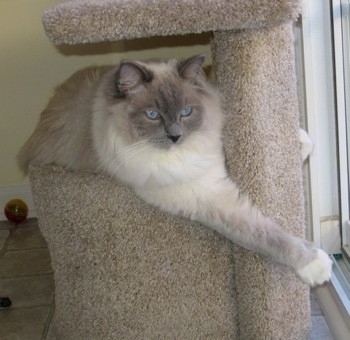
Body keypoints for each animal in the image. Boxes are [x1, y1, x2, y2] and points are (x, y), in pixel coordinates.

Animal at [17, 54, 332, 286]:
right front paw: (317, 266)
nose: (175, 137)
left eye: (186, 112)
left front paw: (299, 141)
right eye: (152, 115)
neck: (185, 155)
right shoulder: (207, 198)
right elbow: (267, 236)